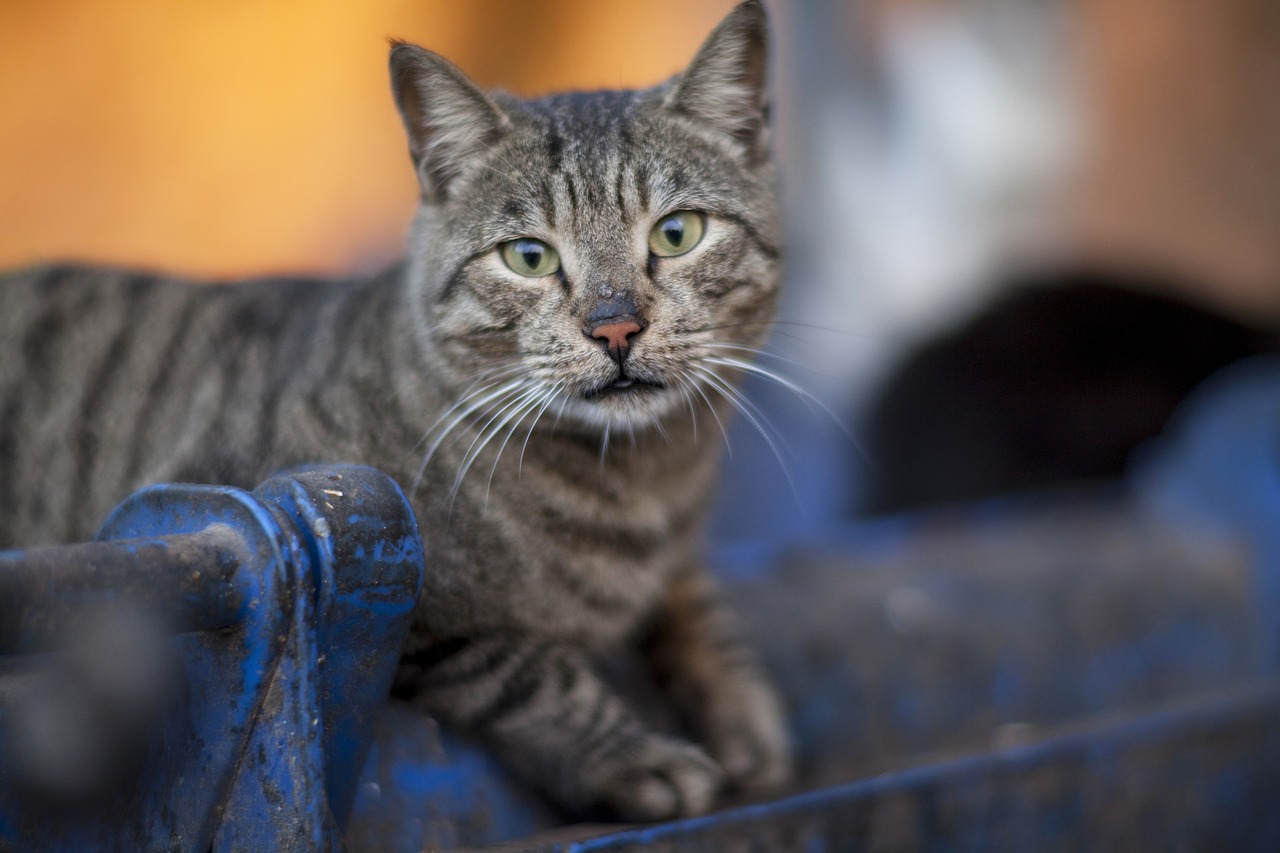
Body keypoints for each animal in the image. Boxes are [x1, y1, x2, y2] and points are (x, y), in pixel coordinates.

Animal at [0, 3, 788, 819]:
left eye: (677, 232)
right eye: (529, 256)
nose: (616, 326)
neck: (639, 482)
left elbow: (698, 603)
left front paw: (743, 708)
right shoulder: (248, 550)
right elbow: (520, 669)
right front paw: (633, 755)